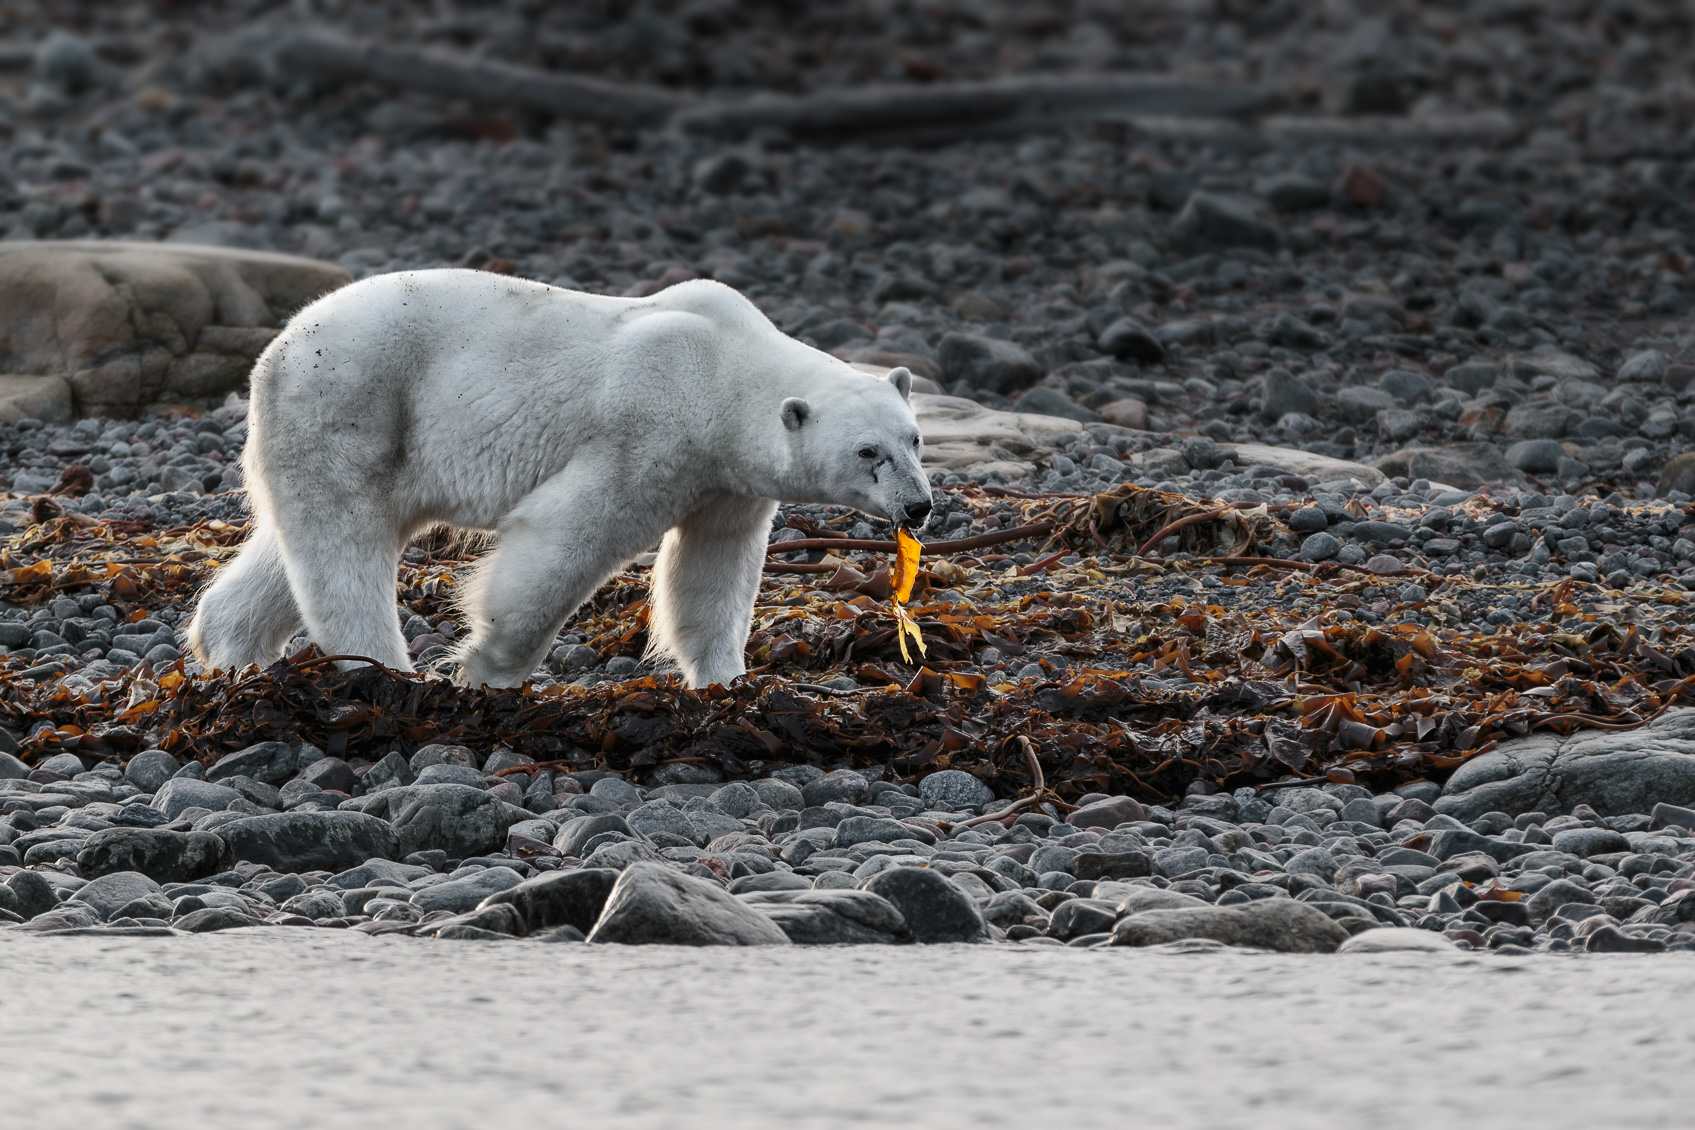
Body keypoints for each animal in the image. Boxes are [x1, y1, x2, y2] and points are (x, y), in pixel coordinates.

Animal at [186, 270, 932, 689]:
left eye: (914, 438)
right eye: (867, 451)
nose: (919, 507)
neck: (725, 369)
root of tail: (278, 348)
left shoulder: (727, 484)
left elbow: (711, 574)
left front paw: (731, 681)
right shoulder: (649, 428)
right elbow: (564, 538)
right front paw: (485, 670)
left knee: (294, 547)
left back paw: (233, 653)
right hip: (353, 399)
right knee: (343, 541)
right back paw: (390, 675)